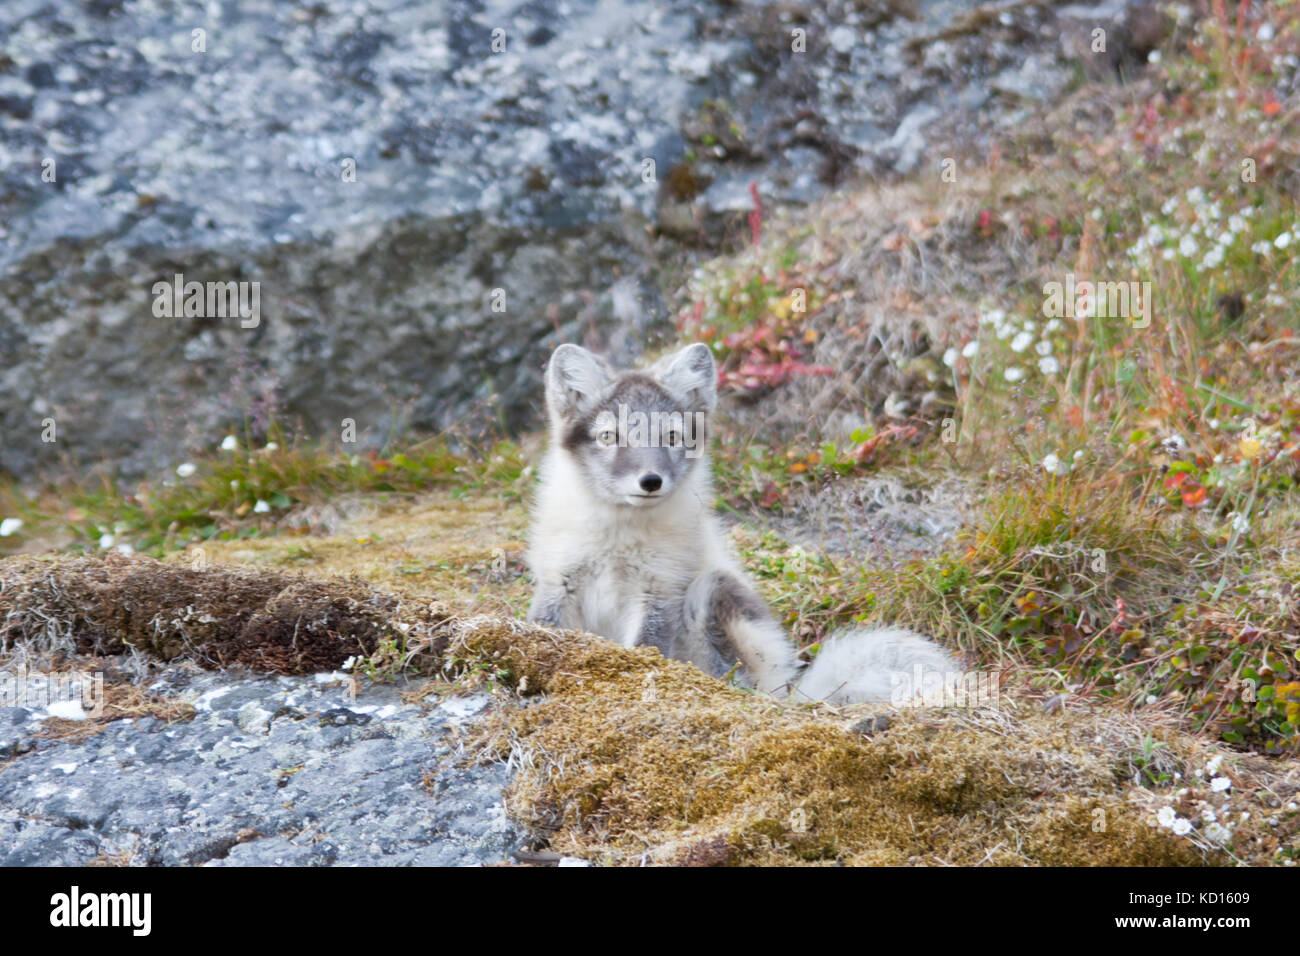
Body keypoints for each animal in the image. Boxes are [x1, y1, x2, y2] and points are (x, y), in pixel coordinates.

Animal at [527, 343, 956, 702]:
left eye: (672, 436)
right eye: (608, 436)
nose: (650, 481)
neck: (618, 534)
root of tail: (791, 689)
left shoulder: (659, 592)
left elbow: (644, 648)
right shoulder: (558, 581)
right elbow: (543, 628)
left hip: (712, 592)